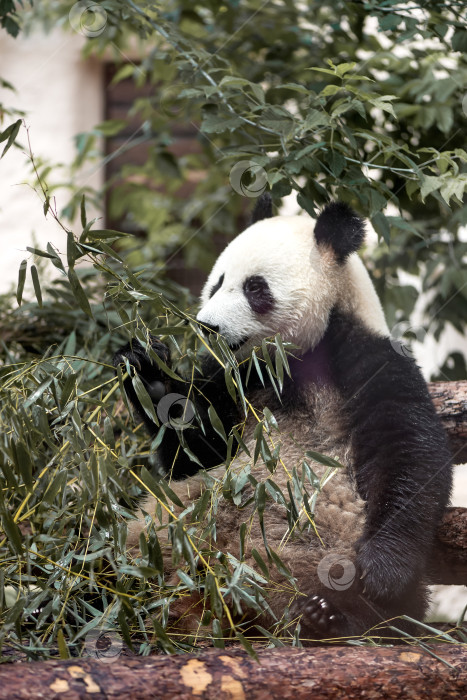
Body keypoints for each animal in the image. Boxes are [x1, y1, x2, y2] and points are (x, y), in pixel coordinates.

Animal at [114, 194, 454, 644]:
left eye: (255, 287)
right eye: (217, 283)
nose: (207, 328)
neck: (288, 363)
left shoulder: (367, 360)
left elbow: (407, 450)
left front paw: (381, 573)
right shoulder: (232, 380)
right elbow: (197, 451)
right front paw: (149, 377)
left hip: (328, 551)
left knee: (389, 610)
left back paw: (329, 617)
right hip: (162, 536)